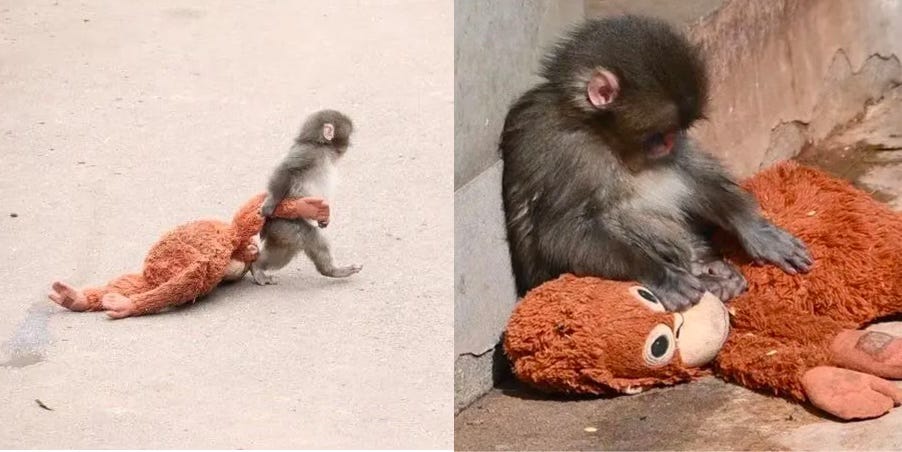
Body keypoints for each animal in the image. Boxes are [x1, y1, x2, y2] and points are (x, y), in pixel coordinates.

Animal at [250, 109, 362, 285]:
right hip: (284, 224)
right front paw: (271, 202)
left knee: (286, 251)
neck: (320, 145)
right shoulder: (309, 152)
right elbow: (286, 170)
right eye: (348, 135)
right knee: (309, 237)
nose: (349, 144)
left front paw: (324, 219)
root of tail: (267, 229)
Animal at [499, 15, 812, 311]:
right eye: (657, 135)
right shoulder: (565, 150)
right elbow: (561, 232)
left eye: (676, 132)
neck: (599, 132)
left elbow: (689, 170)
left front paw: (755, 228)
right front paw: (662, 275)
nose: (670, 143)